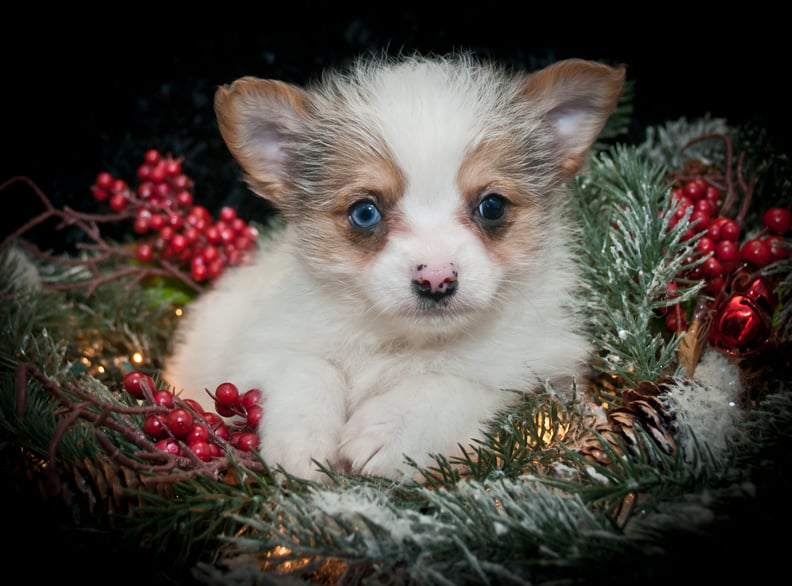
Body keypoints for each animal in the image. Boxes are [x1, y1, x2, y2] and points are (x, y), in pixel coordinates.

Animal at [164, 51, 624, 480]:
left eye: (492, 206)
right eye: (365, 212)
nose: (437, 279)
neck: (403, 343)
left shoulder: (547, 373)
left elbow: (462, 382)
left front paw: (391, 430)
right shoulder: (259, 349)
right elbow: (306, 367)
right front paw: (303, 441)